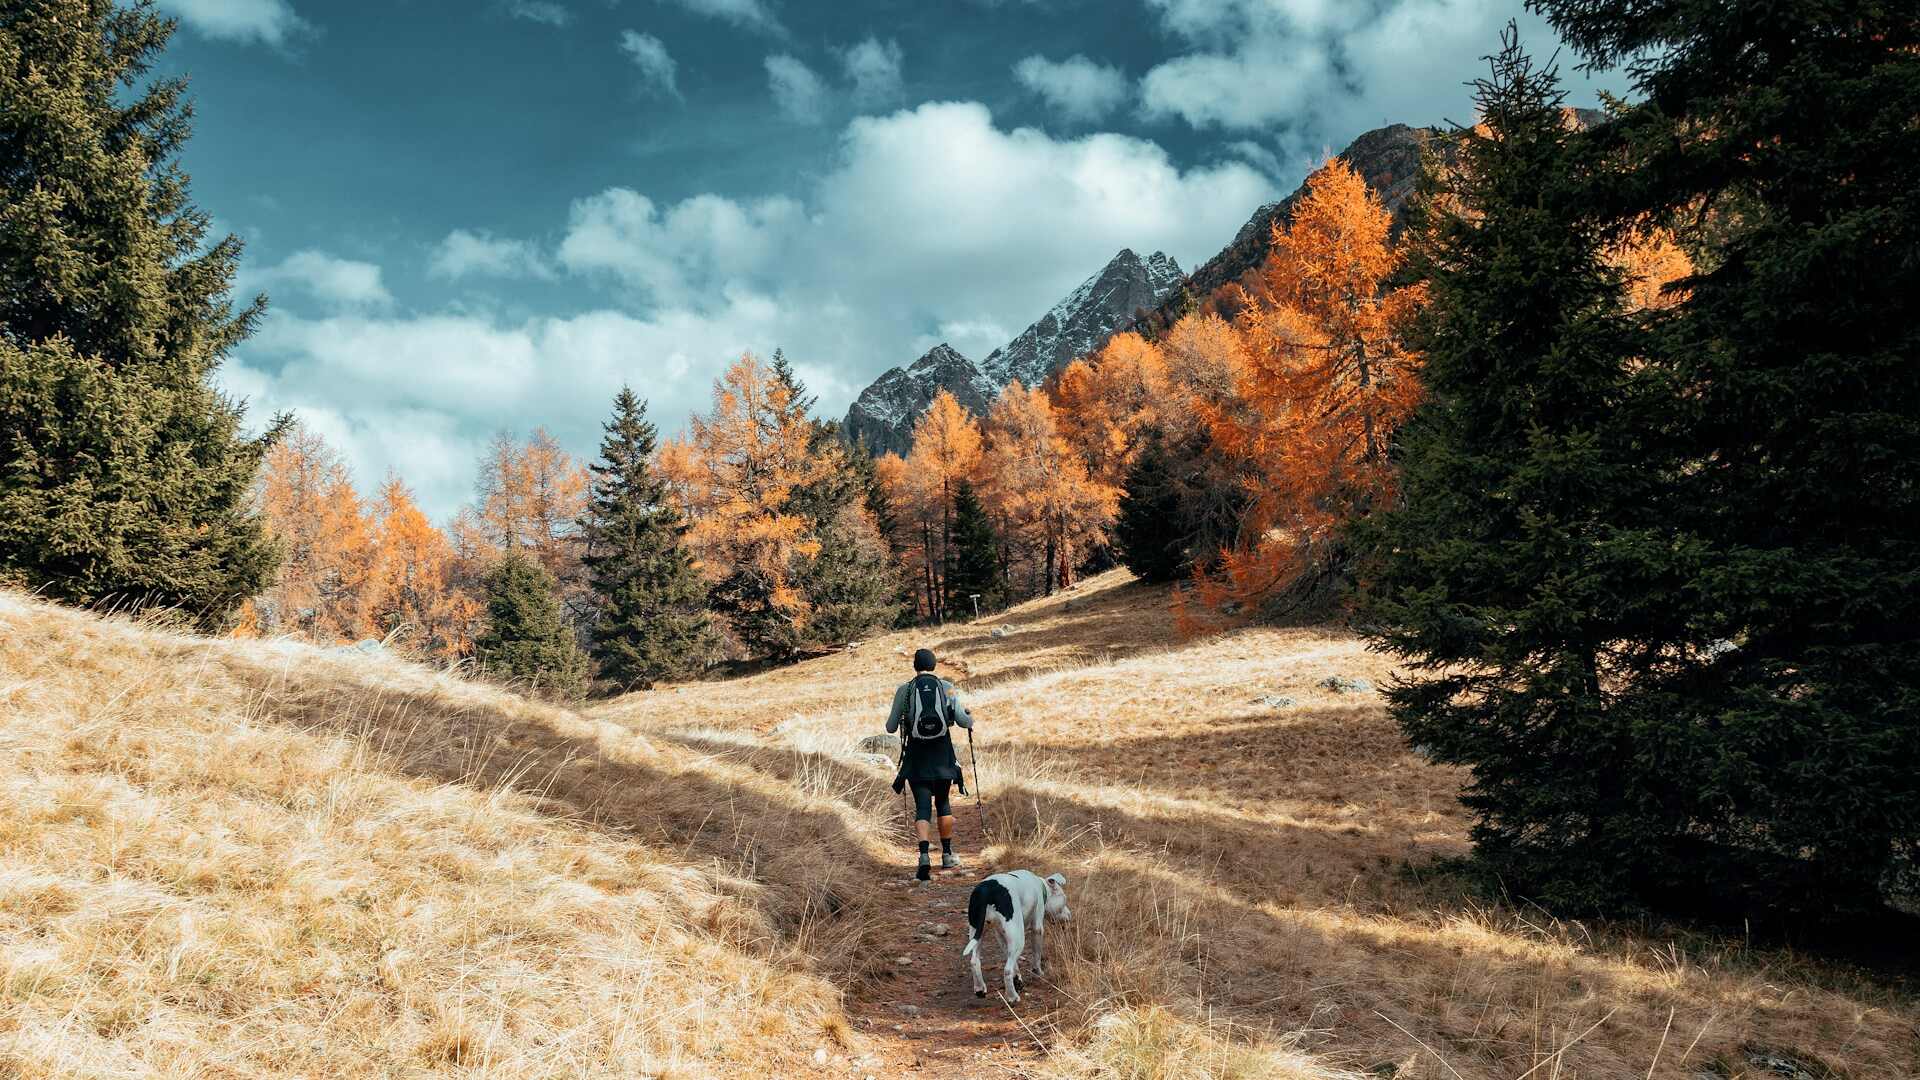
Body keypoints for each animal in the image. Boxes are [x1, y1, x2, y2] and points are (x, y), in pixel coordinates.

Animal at [967, 864, 1075, 999]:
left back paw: (980, 989)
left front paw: (1017, 978)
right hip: (1019, 939)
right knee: (1007, 970)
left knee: (974, 962)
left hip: (978, 934)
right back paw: (1012, 997)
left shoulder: (1003, 936)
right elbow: (1036, 954)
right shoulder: (1037, 928)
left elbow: (1012, 959)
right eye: (1064, 900)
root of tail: (985, 893)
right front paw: (1038, 971)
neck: (1041, 887)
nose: (1070, 915)